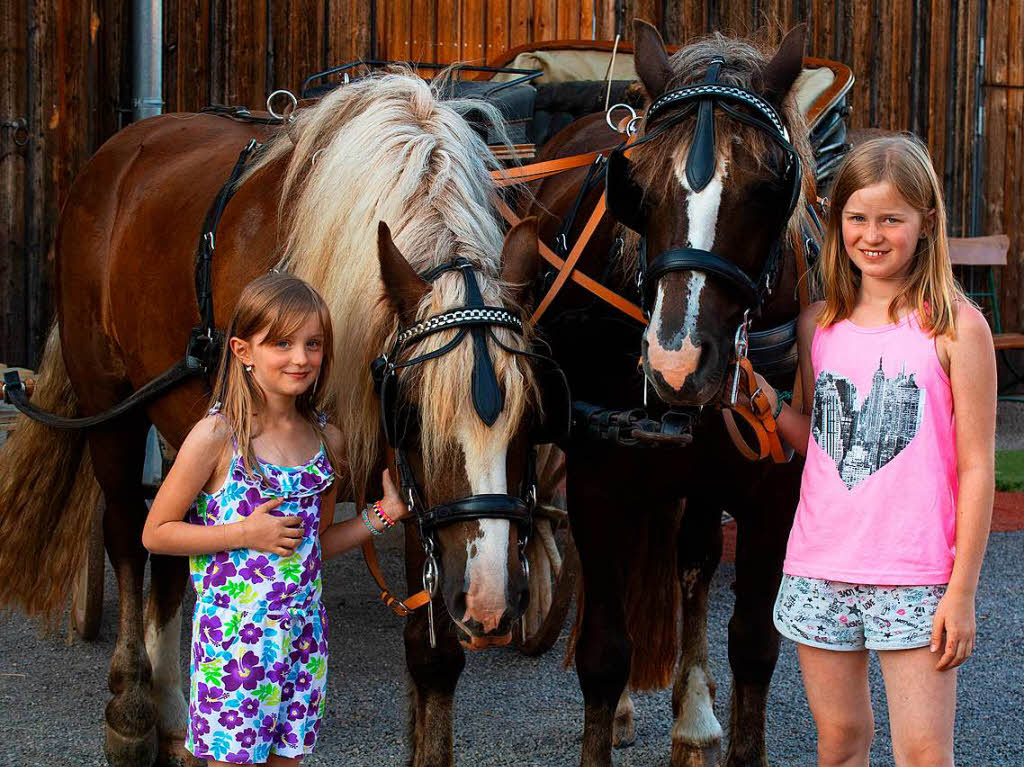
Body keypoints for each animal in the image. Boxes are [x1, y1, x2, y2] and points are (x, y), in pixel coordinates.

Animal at [0, 73, 544, 765]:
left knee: (171, 548)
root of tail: (121, 148)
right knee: (128, 535)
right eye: (413, 413)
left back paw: (175, 717)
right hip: (110, 406)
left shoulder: (425, 506)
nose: (491, 602)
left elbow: (433, 657)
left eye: (532, 416)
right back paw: (132, 710)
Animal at [528, 22, 815, 765]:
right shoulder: (597, 479)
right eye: (638, 186)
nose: (676, 360)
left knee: (694, 562)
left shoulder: (775, 490)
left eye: (769, 185)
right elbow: (603, 652)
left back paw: (694, 716)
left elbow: (753, 644)